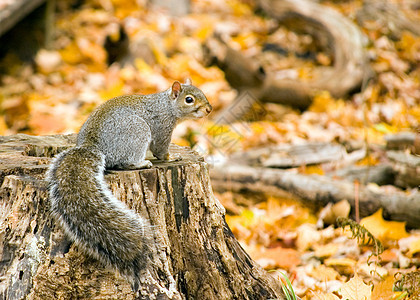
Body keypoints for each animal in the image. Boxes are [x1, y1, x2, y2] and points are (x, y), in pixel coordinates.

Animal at [47, 79, 212, 288]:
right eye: (189, 99)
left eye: (202, 92)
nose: (209, 109)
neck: (166, 105)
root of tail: (93, 146)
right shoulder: (162, 127)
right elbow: (160, 150)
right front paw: (172, 157)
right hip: (138, 132)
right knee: (124, 163)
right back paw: (142, 163)